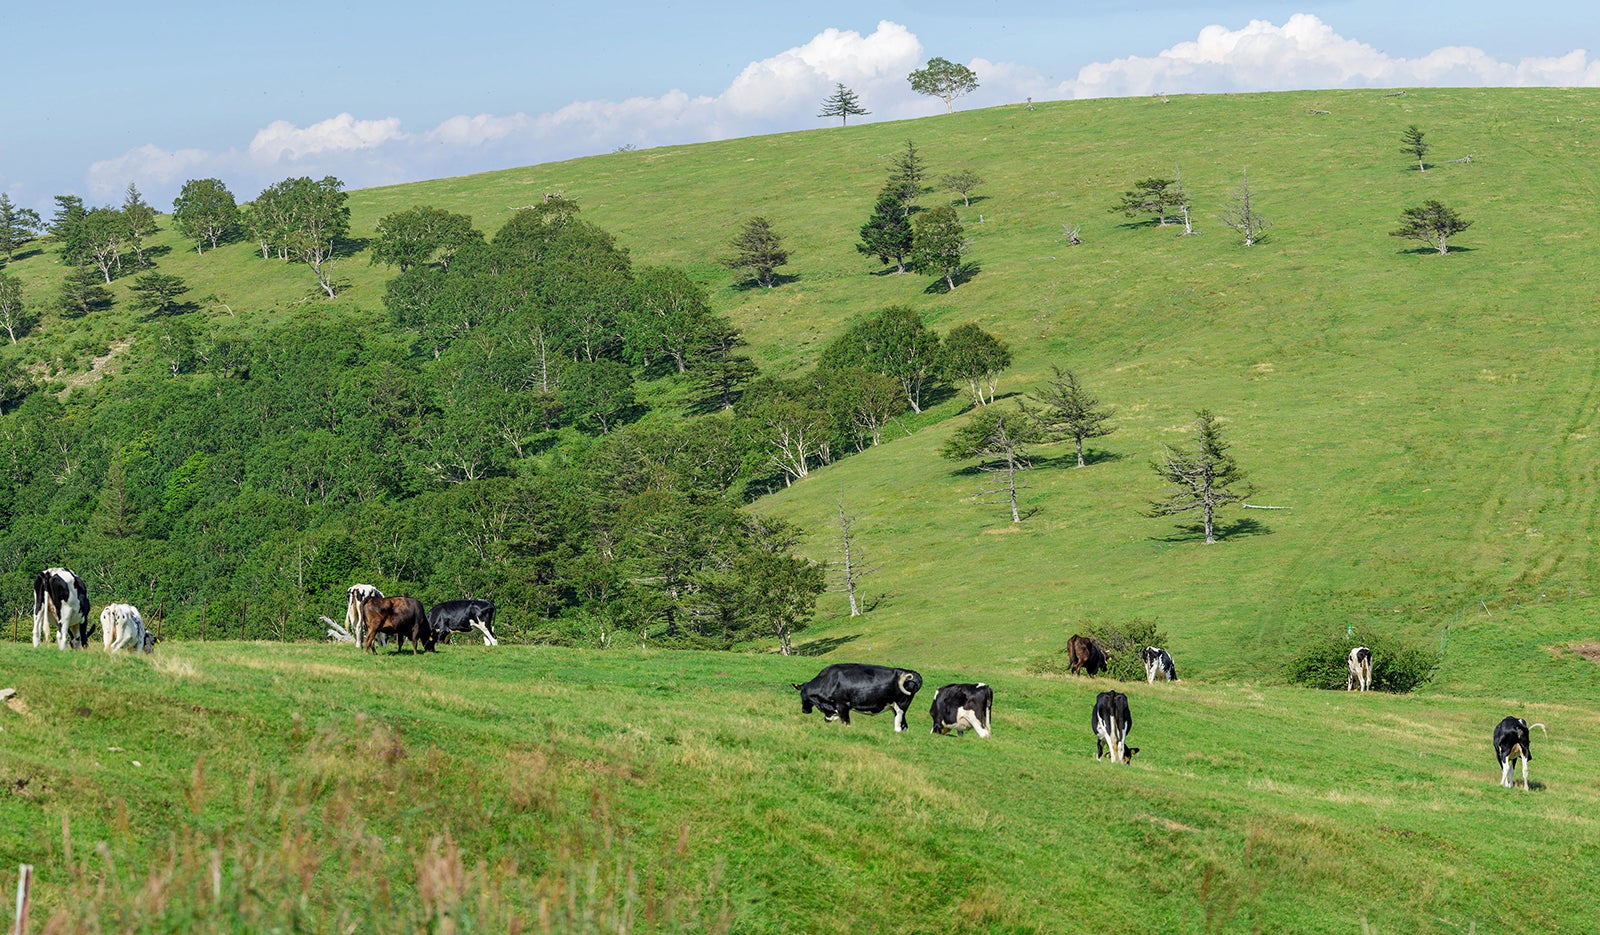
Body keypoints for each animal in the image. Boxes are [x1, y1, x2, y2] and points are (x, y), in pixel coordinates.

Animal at [790, 659, 921, 733]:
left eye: (801, 695)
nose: (804, 710)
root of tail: (907, 671)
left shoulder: (842, 705)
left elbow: (846, 723)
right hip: (896, 708)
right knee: (905, 726)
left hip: (900, 706)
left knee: (899, 727)